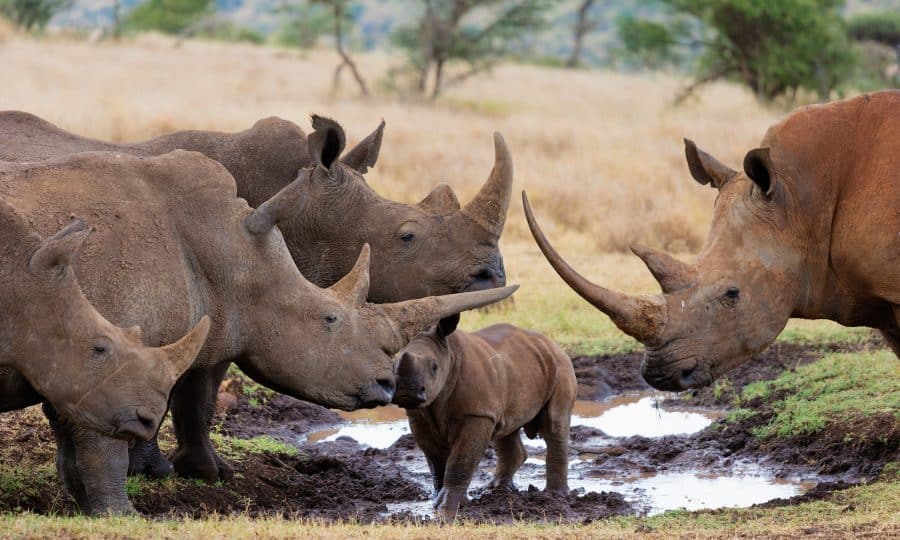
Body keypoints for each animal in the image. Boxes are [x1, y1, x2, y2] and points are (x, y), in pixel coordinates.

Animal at [0, 150, 517, 513]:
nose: (388, 385)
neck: (231, 255)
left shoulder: (76, 359)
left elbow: (75, 437)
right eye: (329, 319)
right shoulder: (97, 361)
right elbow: (99, 443)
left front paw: (83, 507)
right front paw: (120, 515)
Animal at [393, 317, 576, 520]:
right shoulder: (418, 416)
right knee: (506, 427)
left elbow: (460, 461)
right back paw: (495, 489)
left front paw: (446, 509)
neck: (448, 354)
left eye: (434, 366)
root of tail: (553, 344)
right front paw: (438, 501)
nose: (407, 392)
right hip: (515, 370)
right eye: (394, 365)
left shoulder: (477, 414)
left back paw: (555, 496)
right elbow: (435, 460)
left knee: (554, 424)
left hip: (560, 366)